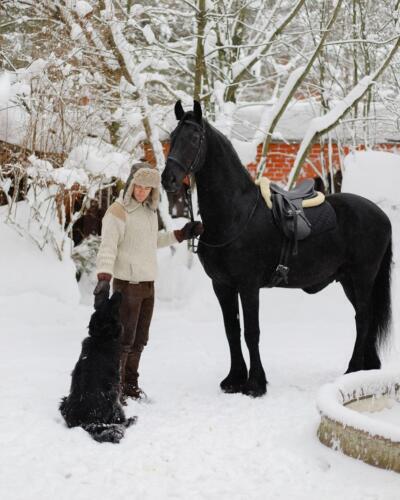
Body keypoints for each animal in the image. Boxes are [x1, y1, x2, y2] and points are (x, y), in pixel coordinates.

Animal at [59, 292, 137, 444]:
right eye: (111, 304)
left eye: (104, 302)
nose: (118, 292)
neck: (101, 337)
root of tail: (88, 421)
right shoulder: (117, 385)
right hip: (115, 406)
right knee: (119, 422)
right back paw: (131, 420)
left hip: (64, 401)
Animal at [161, 102, 392, 398]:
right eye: (172, 136)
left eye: (193, 138)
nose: (168, 178)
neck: (235, 214)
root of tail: (380, 215)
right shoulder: (222, 285)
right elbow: (231, 329)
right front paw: (234, 379)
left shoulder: (248, 285)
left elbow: (251, 332)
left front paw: (255, 384)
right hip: (349, 281)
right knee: (367, 317)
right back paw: (367, 367)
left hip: (362, 277)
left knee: (363, 317)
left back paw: (352, 369)